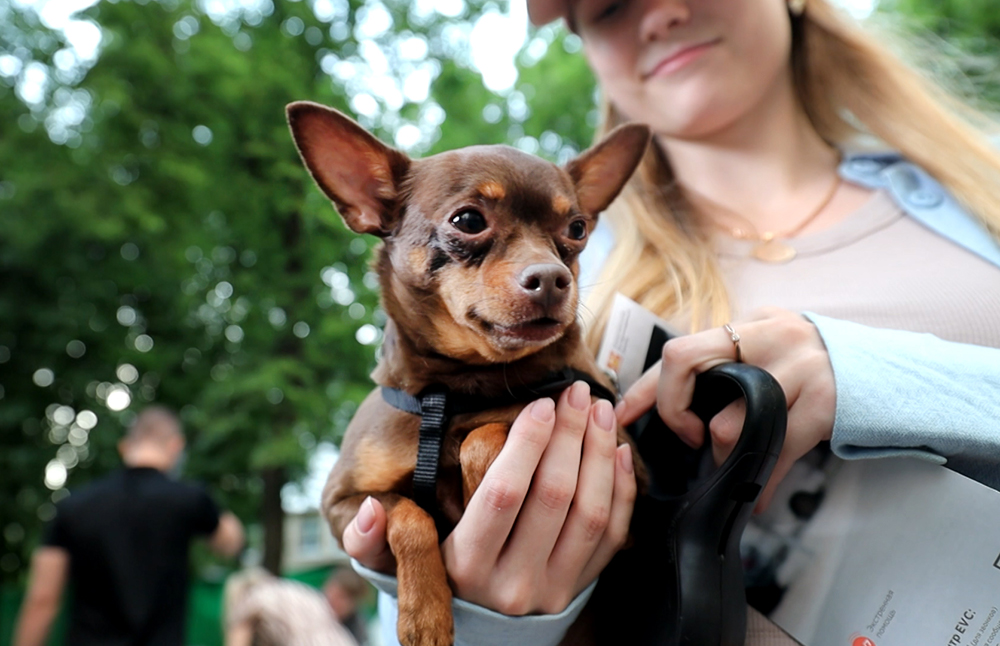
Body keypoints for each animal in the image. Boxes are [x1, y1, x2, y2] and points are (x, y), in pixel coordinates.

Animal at [286, 102, 652, 646]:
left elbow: (487, 435)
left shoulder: (633, 496)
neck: (457, 391)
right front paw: (425, 615)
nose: (551, 278)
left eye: (577, 229)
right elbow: (410, 514)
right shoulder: (344, 505)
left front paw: (479, 471)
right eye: (468, 220)